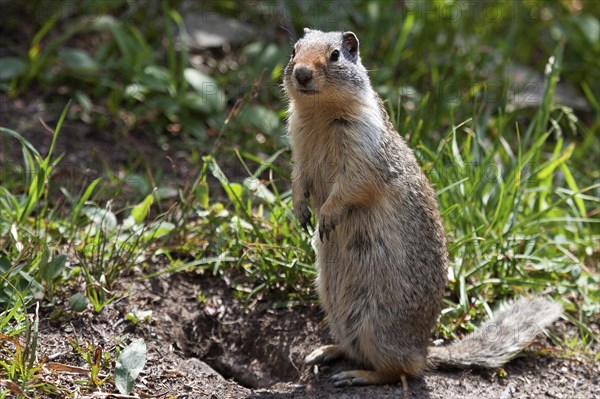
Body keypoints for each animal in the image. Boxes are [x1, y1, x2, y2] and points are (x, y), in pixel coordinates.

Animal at [282, 28, 564, 394]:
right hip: (337, 311)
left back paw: (357, 375)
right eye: (293, 51)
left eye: (335, 55)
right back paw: (325, 351)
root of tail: (425, 349)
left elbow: (350, 187)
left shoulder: (364, 153)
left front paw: (327, 216)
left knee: (401, 370)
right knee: (359, 349)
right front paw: (300, 211)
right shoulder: (299, 149)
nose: (301, 73)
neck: (319, 114)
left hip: (378, 325)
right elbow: (298, 178)